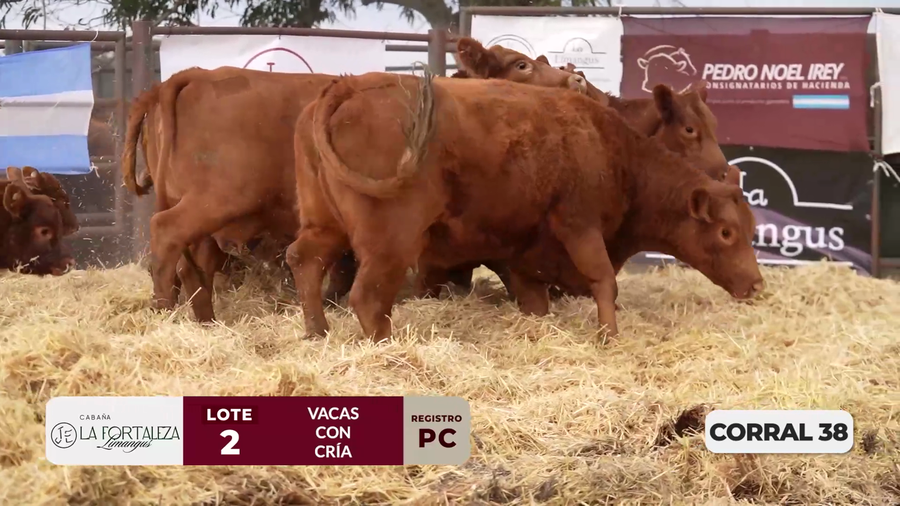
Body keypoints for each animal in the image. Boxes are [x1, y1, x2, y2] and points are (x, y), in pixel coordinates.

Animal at [120, 37, 592, 323]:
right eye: (521, 64)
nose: (577, 79)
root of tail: (193, 75)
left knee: (192, 261)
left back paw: (203, 318)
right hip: (217, 199)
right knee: (168, 237)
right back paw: (163, 311)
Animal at [285, 71, 764, 344]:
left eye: (752, 229)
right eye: (726, 232)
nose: (756, 285)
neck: (612, 150)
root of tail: (349, 85)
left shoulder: (524, 255)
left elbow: (536, 300)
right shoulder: (580, 225)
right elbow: (604, 281)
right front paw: (608, 337)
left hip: (324, 223)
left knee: (305, 259)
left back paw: (316, 332)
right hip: (392, 240)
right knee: (368, 297)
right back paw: (388, 346)